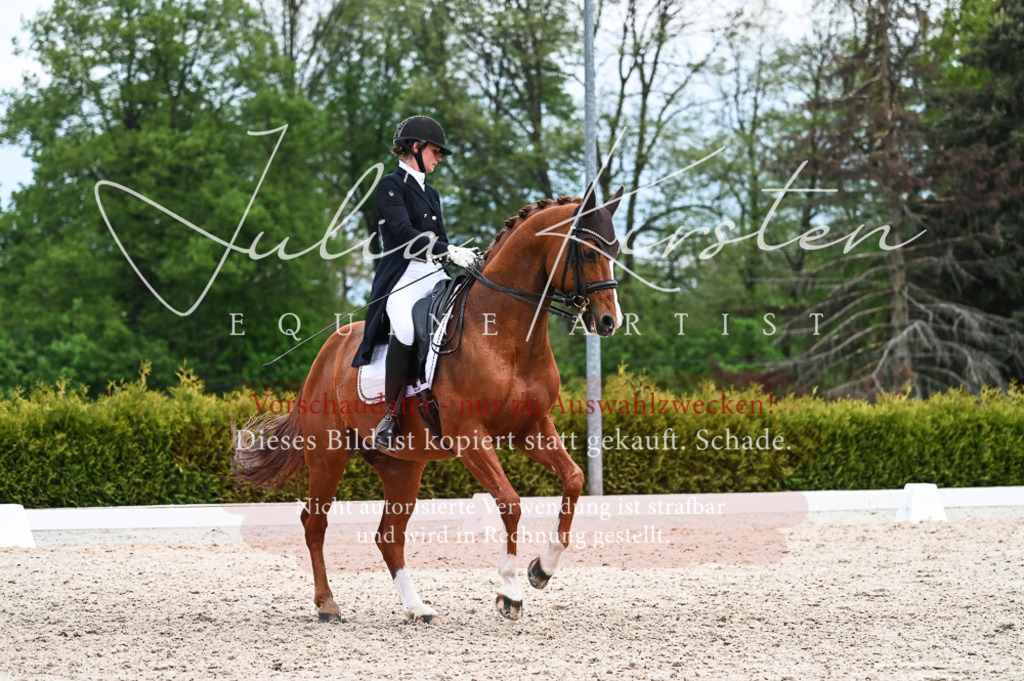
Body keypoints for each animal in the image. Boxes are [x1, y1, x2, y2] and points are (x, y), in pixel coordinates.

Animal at [233, 185, 625, 622]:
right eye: (587, 252)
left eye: (615, 249)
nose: (609, 322)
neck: (504, 334)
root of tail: (329, 350)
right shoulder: (469, 436)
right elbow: (509, 502)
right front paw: (510, 592)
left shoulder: (530, 429)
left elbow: (573, 478)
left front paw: (542, 569)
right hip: (327, 456)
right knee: (314, 522)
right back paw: (328, 604)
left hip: (403, 467)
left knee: (388, 536)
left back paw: (416, 607)